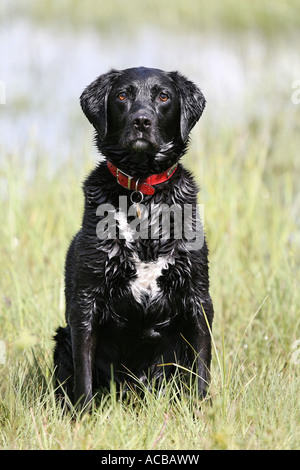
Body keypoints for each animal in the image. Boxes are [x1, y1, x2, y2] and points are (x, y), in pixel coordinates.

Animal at [53, 68, 213, 410]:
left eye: (163, 96)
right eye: (122, 95)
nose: (142, 121)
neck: (142, 191)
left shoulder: (198, 297)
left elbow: (201, 371)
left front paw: (202, 411)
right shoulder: (85, 302)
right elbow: (84, 378)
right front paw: (84, 416)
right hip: (62, 340)